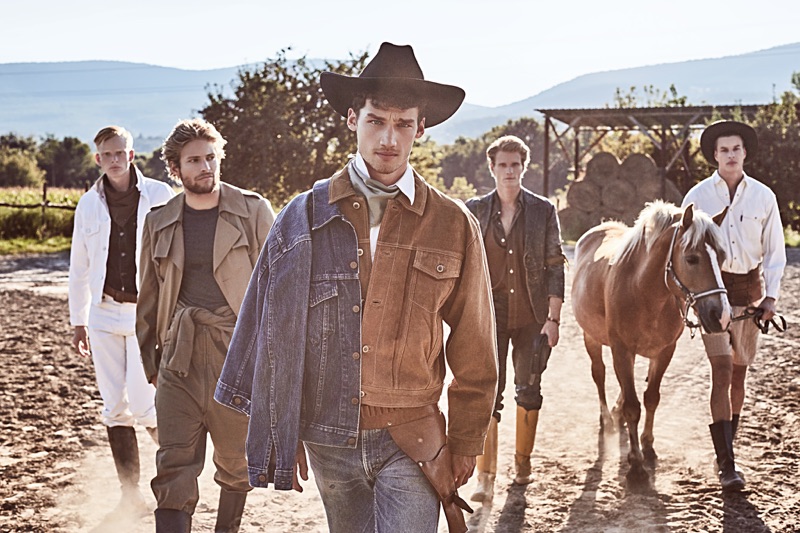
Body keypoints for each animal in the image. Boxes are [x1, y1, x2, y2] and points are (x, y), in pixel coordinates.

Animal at [568, 198, 732, 482]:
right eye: (692, 258)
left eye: (721, 257)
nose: (720, 316)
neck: (642, 290)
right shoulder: (621, 350)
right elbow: (633, 406)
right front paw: (635, 463)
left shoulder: (664, 352)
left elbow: (651, 398)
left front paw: (648, 445)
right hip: (592, 339)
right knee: (599, 374)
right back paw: (607, 420)